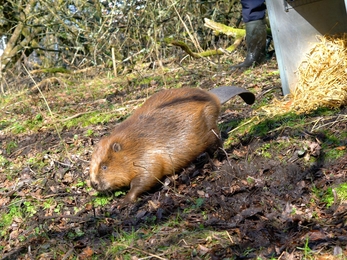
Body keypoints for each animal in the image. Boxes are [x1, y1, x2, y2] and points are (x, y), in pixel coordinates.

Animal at [90, 86, 256, 202]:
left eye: (104, 167)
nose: (93, 184)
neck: (131, 145)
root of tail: (213, 97)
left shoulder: (147, 156)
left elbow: (147, 177)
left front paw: (126, 200)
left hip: (209, 125)